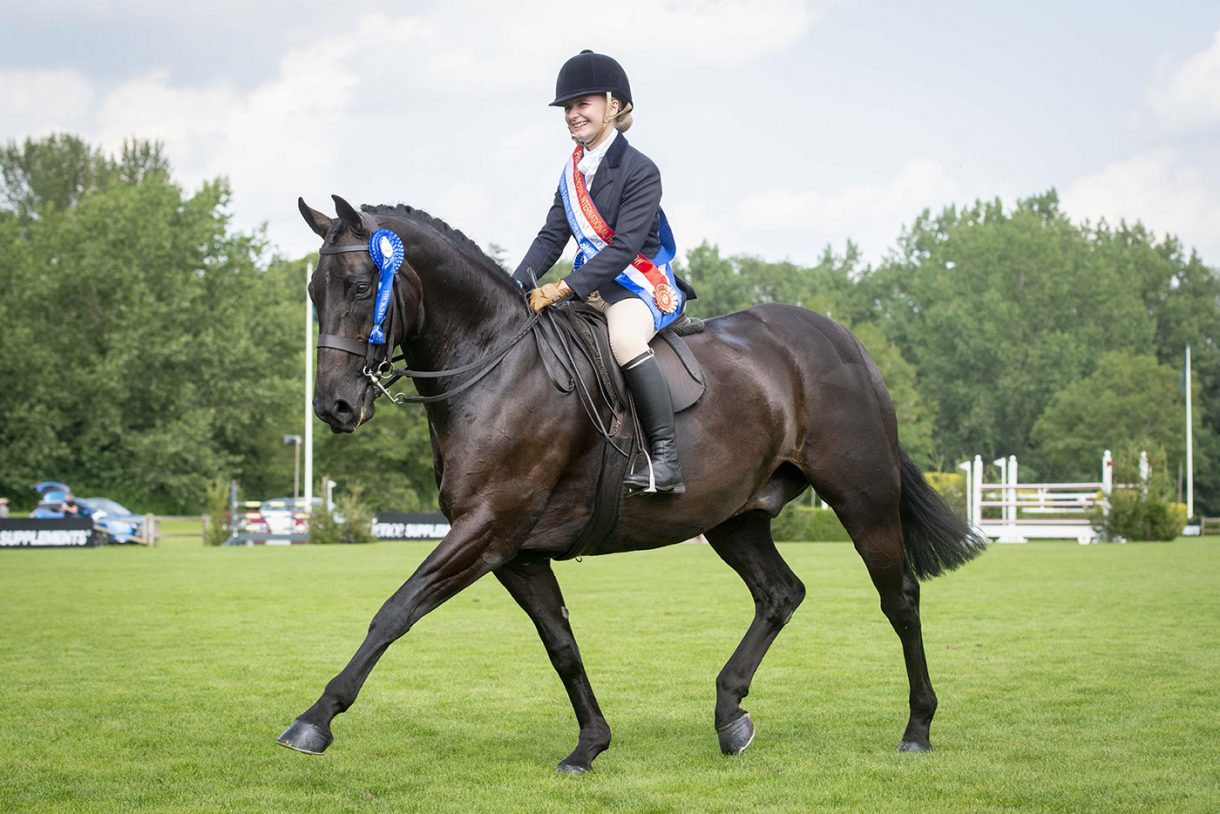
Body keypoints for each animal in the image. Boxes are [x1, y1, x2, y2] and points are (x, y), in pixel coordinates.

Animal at [277, 194, 986, 773]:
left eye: (362, 284)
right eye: (313, 289)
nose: (333, 407)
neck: (497, 369)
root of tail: (845, 341)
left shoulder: (485, 529)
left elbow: (395, 611)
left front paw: (315, 720)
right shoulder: (515, 551)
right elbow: (561, 644)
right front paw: (590, 744)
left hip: (862, 499)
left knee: (899, 598)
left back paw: (918, 728)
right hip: (733, 518)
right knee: (780, 594)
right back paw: (730, 716)